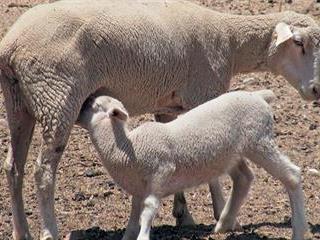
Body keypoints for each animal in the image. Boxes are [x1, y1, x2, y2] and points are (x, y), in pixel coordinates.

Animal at [76, 89, 308, 240]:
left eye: (94, 105)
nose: (78, 110)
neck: (127, 147)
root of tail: (259, 96)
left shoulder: (160, 174)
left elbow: (148, 211)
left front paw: (144, 234)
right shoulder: (138, 189)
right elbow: (133, 217)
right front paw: (129, 234)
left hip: (259, 141)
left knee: (292, 175)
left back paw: (298, 230)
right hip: (231, 152)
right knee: (244, 178)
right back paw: (223, 225)